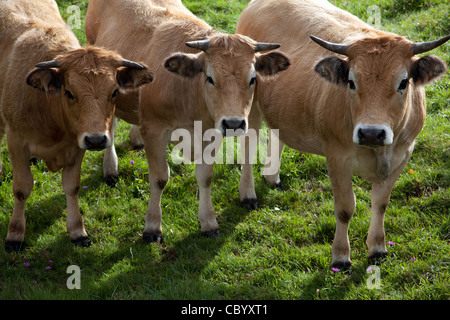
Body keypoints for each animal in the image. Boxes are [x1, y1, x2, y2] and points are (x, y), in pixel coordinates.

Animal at [0, 0, 153, 251]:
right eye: (70, 93)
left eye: (114, 92)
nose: (97, 139)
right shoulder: (16, 142)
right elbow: (21, 189)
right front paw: (15, 234)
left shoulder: (77, 146)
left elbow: (72, 187)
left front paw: (77, 231)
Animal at [85, 0, 290, 240]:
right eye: (209, 78)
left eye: (252, 79)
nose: (233, 124)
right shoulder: (154, 130)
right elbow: (160, 178)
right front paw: (152, 226)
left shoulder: (211, 134)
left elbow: (205, 177)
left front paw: (208, 221)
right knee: (111, 122)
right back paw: (110, 168)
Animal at [237, 0, 448, 270]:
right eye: (351, 81)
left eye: (403, 83)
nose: (372, 133)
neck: (378, 151)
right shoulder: (337, 157)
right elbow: (345, 208)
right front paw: (341, 256)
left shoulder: (404, 153)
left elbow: (381, 203)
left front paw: (377, 248)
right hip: (249, 102)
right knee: (248, 144)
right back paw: (248, 195)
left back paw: (272, 177)